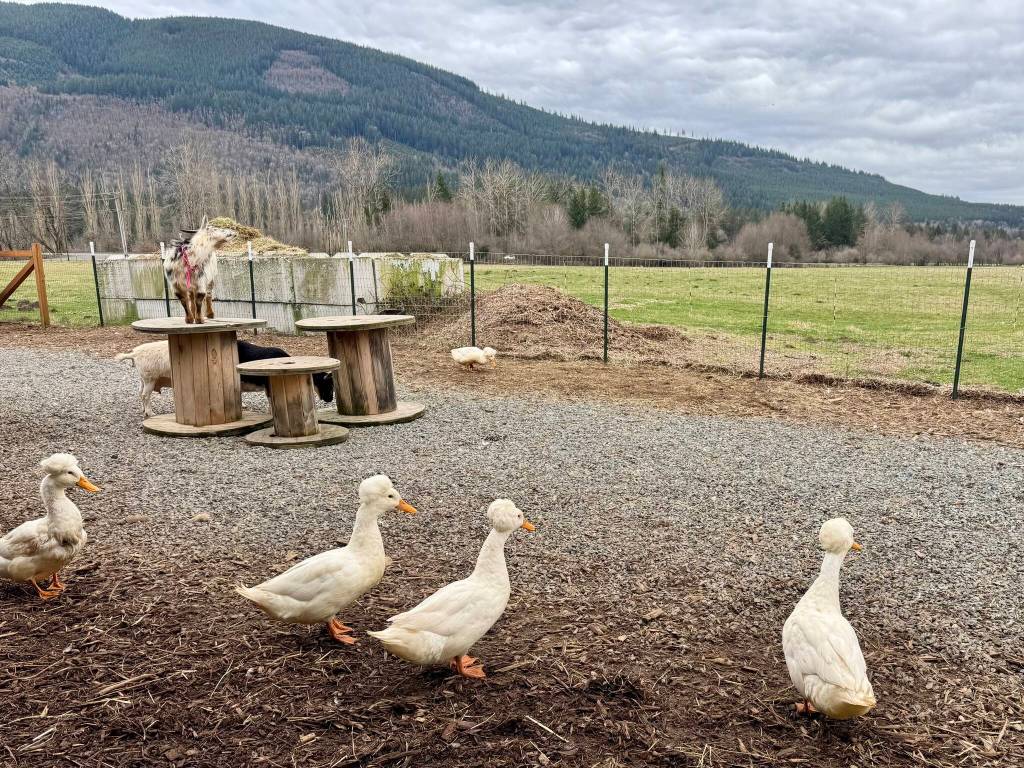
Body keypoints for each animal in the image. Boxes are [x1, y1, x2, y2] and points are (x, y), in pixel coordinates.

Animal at [117, 339, 334, 418]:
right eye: (327, 383)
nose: (329, 399)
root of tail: (134, 354)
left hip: (144, 379)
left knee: (140, 394)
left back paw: (144, 411)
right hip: (150, 378)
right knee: (145, 396)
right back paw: (149, 413)